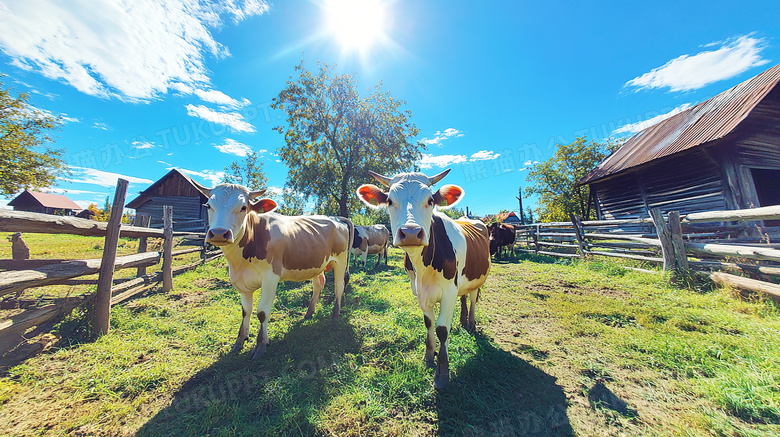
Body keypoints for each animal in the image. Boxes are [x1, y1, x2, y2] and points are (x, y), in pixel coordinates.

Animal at [195, 182, 354, 360]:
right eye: (209, 205)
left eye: (243, 207)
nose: (219, 233)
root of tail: (335, 218)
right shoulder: (242, 281)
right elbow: (245, 311)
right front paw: (240, 341)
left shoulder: (270, 278)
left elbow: (262, 312)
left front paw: (261, 346)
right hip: (316, 262)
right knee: (319, 284)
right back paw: (309, 313)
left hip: (340, 261)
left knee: (339, 287)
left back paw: (335, 317)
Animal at [358, 168, 490, 388]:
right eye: (390, 201)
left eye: (430, 200)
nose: (411, 232)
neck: (424, 269)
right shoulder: (419, 291)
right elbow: (428, 324)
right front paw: (429, 355)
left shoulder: (448, 292)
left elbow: (442, 329)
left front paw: (442, 374)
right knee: (464, 297)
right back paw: (463, 320)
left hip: (476, 279)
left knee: (472, 298)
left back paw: (471, 322)